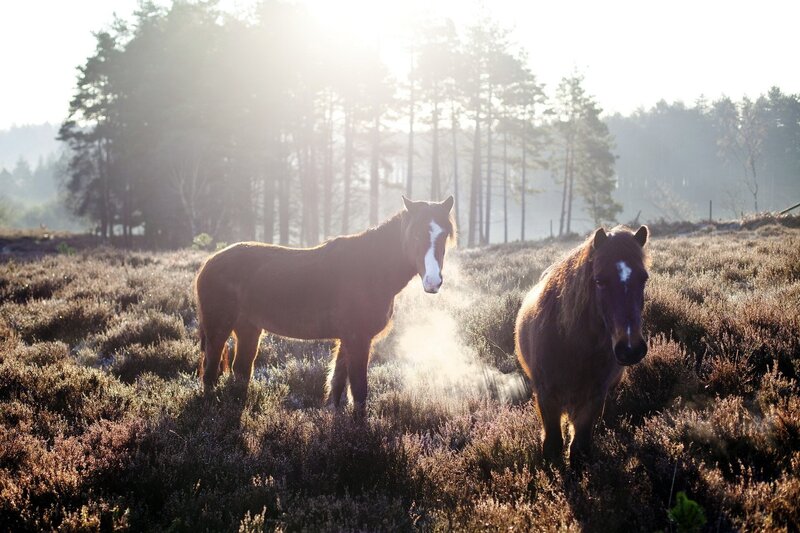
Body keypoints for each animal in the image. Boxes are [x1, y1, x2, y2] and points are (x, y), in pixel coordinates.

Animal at [194, 196, 455, 410]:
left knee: (241, 372)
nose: (433, 282)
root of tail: (208, 263)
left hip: (248, 330)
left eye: (444, 235)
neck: (370, 267)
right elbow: (359, 390)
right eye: (416, 234)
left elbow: (339, 385)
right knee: (210, 374)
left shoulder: (348, 340)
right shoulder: (357, 339)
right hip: (218, 330)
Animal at [515, 225, 649, 462]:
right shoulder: (546, 396)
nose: (630, 348)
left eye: (643, 279)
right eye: (599, 281)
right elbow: (552, 445)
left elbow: (579, 448)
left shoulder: (594, 397)